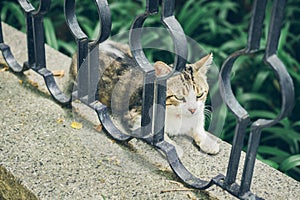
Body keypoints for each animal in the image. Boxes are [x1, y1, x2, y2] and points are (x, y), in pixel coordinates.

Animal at [71, 40, 219, 155]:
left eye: (200, 94)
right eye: (179, 97)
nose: (192, 109)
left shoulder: (199, 114)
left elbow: (198, 127)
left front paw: (208, 142)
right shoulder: (136, 117)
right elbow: (159, 137)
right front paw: (175, 148)